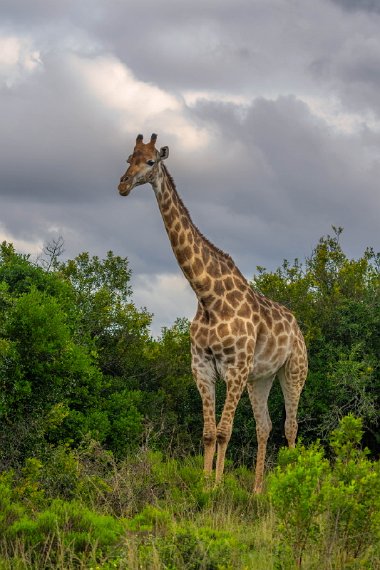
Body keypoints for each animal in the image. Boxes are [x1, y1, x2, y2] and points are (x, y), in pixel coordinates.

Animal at [118, 132, 308, 488]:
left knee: (291, 426)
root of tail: (297, 327)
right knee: (265, 426)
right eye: (128, 158)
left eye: (150, 161)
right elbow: (208, 433)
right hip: (260, 378)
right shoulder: (202, 367)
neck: (208, 297)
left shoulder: (234, 367)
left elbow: (223, 431)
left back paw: (289, 482)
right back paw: (257, 490)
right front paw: (203, 485)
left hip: (293, 371)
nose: (122, 185)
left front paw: (217, 487)